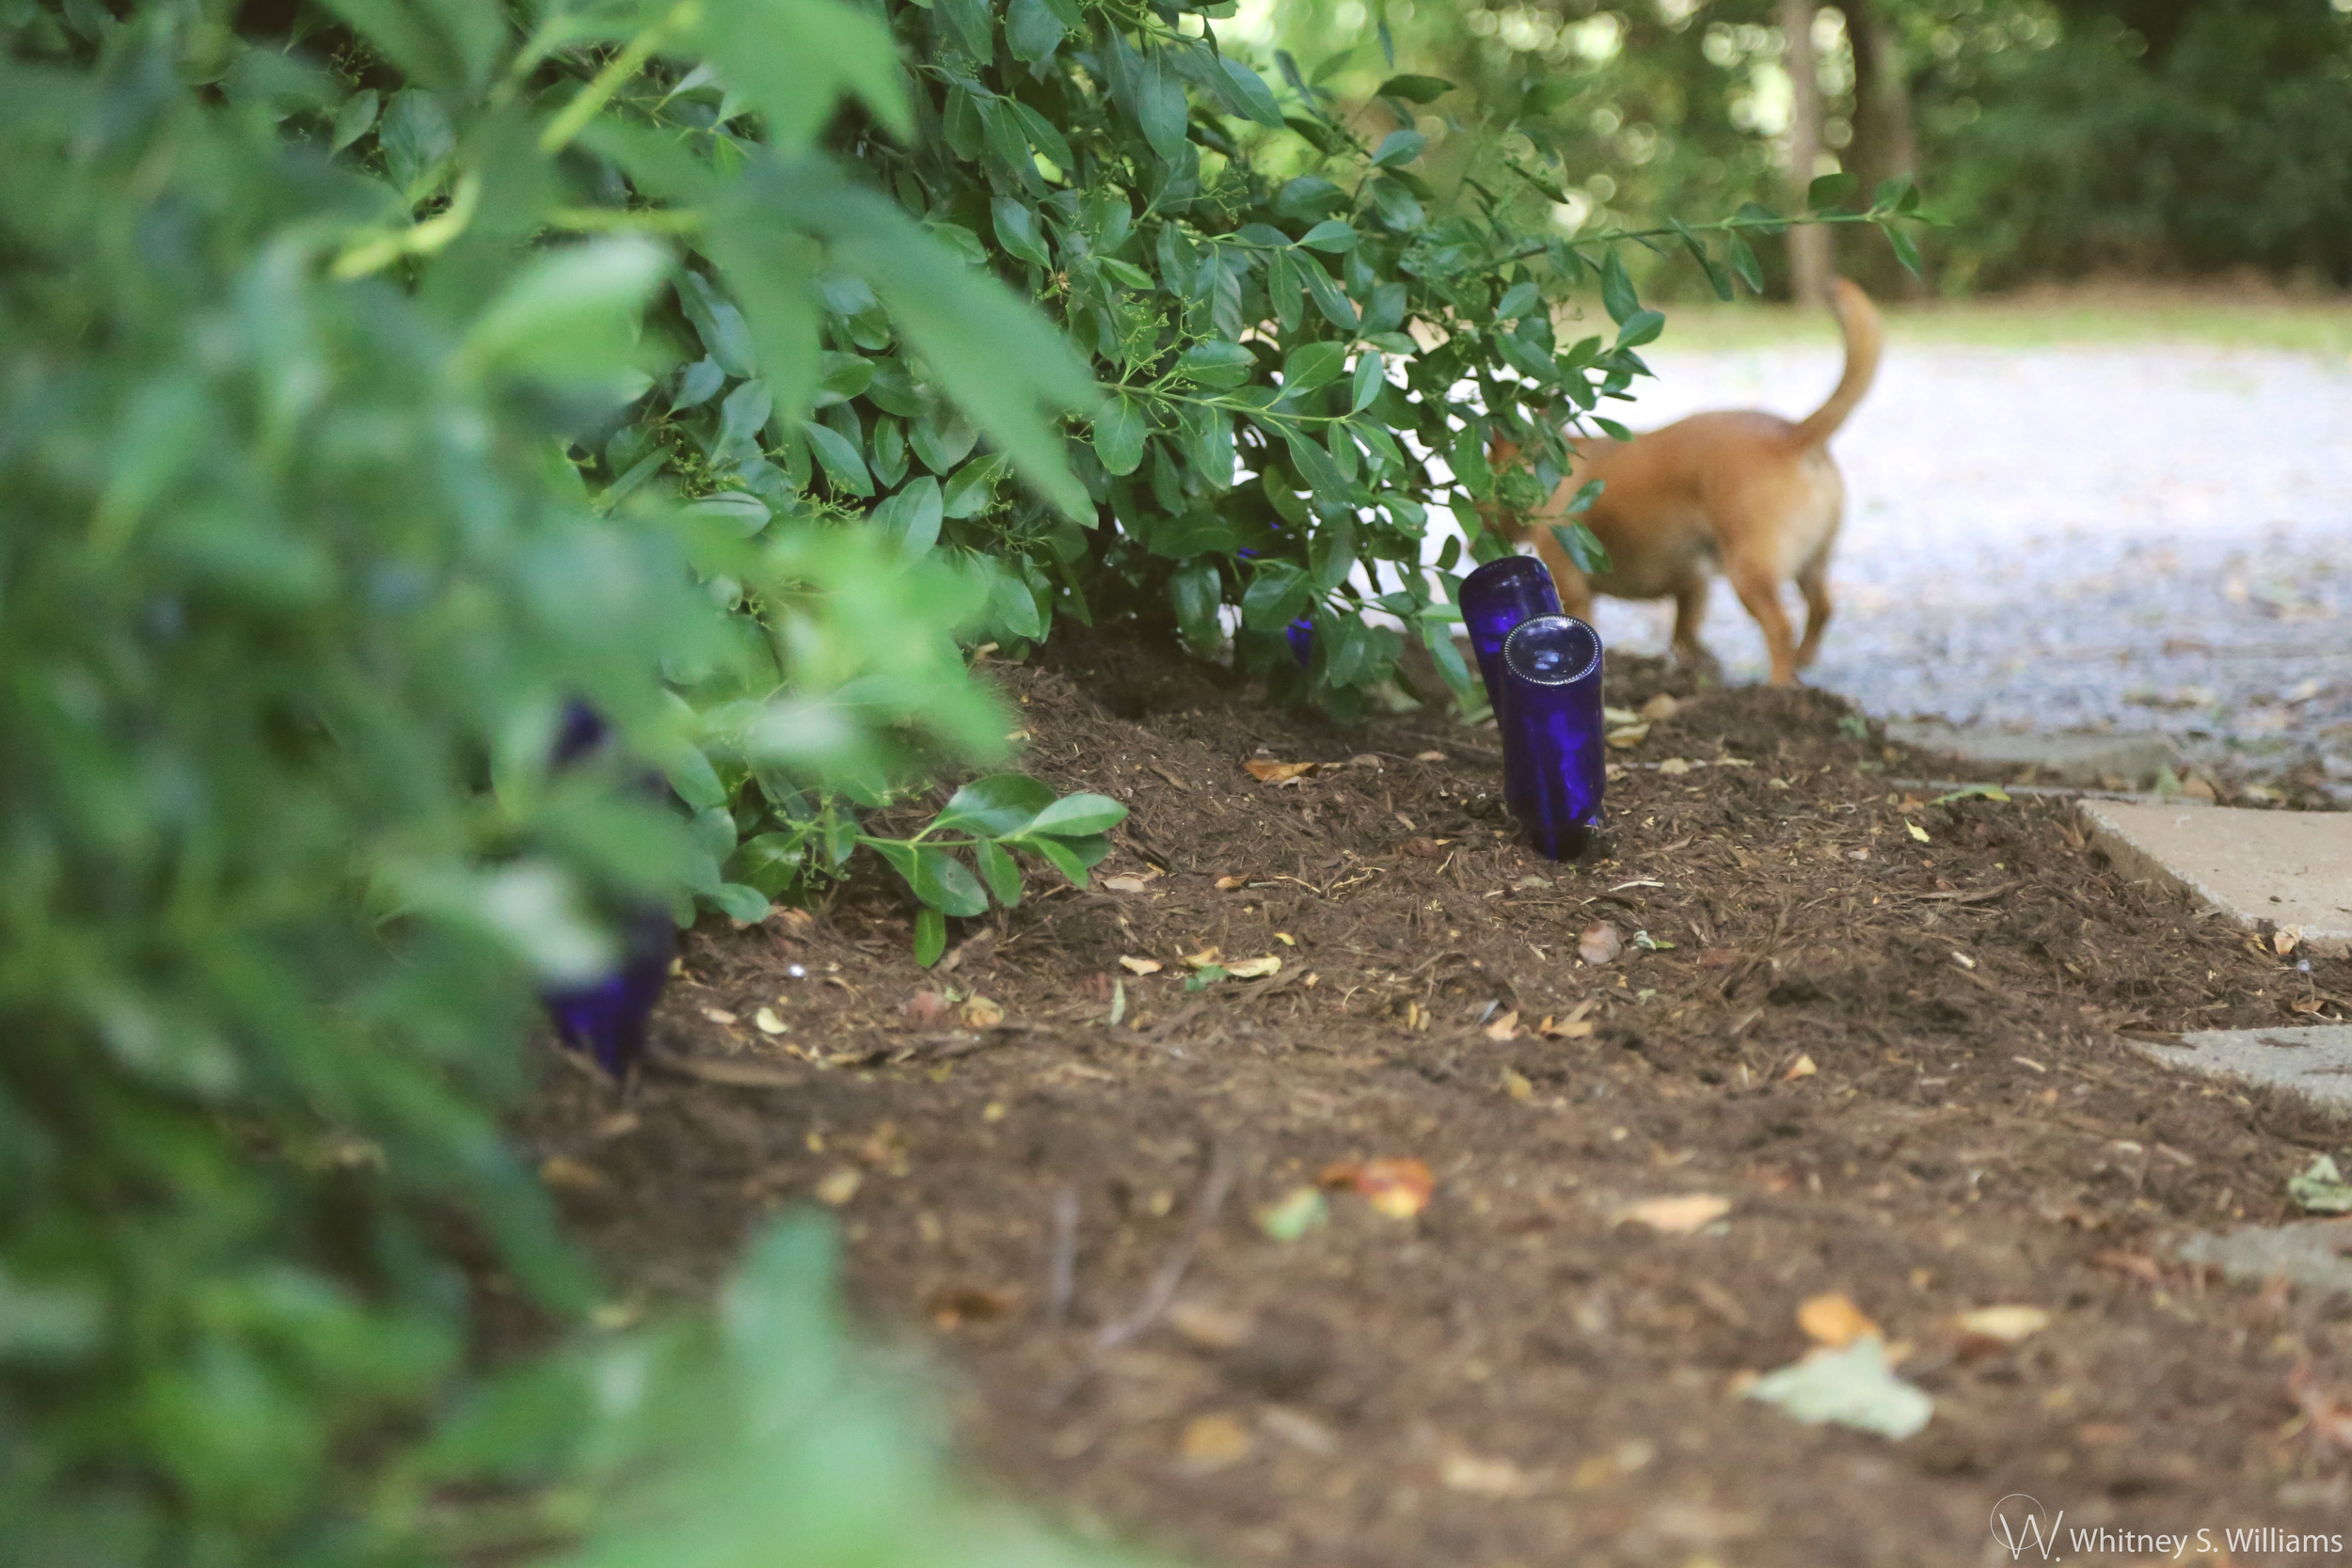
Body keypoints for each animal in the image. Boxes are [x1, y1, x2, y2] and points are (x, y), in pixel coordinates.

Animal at [1496, 278, 1882, 681]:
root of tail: (1794, 434)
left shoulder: (1575, 592)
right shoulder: (1693, 583)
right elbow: (1686, 631)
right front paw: (1699, 665)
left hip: (1749, 574)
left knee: (1780, 628)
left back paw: (1778, 685)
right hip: (1811, 564)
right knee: (1821, 607)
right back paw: (1801, 664)